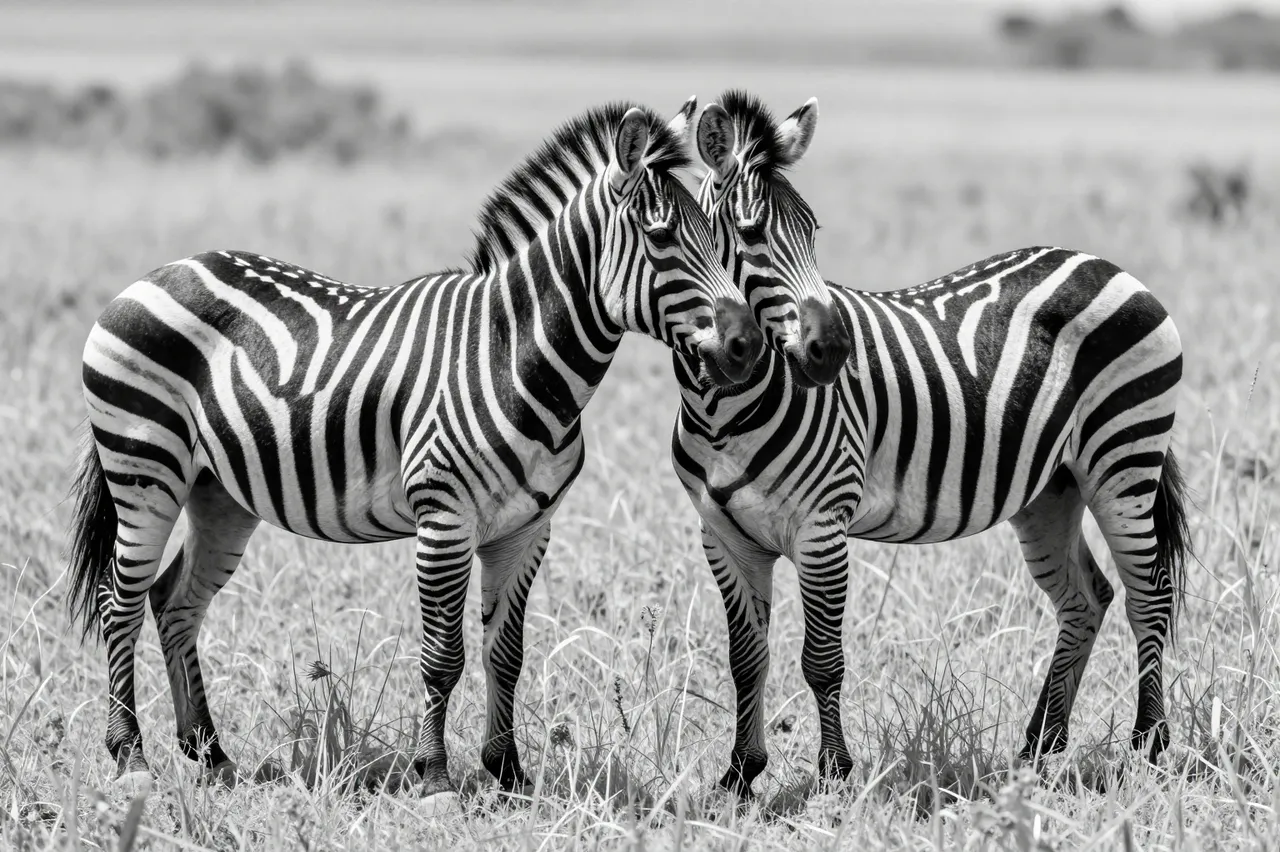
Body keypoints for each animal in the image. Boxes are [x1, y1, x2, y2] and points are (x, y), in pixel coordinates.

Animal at [64, 98, 764, 808]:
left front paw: (509, 776)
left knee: (174, 601)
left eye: (716, 233)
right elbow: (443, 656)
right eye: (661, 238)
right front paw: (435, 780)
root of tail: (157, 273)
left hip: (219, 493)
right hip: (144, 469)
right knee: (120, 603)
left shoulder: (526, 529)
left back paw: (209, 753)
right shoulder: (443, 520)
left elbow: (505, 653)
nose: (747, 345)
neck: (511, 356)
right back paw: (130, 758)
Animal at [671, 93, 1192, 798]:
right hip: (1052, 488)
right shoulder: (723, 536)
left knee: (1149, 595)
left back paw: (1148, 746)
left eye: (814, 230)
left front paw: (833, 775)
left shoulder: (821, 526)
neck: (723, 409)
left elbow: (821, 659)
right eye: (751, 234)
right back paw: (1040, 745)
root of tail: (1103, 263)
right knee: (1088, 600)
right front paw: (738, 776)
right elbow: (746, 659)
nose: (832, 352)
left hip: (1124, 460)